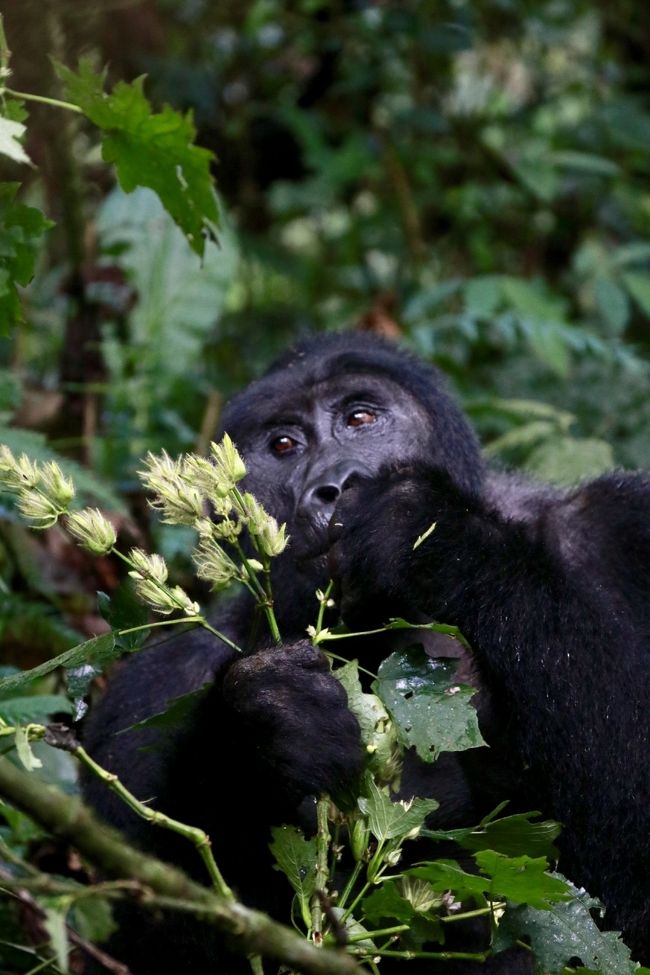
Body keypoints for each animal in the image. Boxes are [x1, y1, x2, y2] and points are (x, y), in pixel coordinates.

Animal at [81, 334, 648, 975]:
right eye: (284, 445)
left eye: (360, 419)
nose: (335, 484)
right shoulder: (147, 693)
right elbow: (155, 920)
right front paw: (265, 723)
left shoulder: (625, 525)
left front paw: (432, 530)